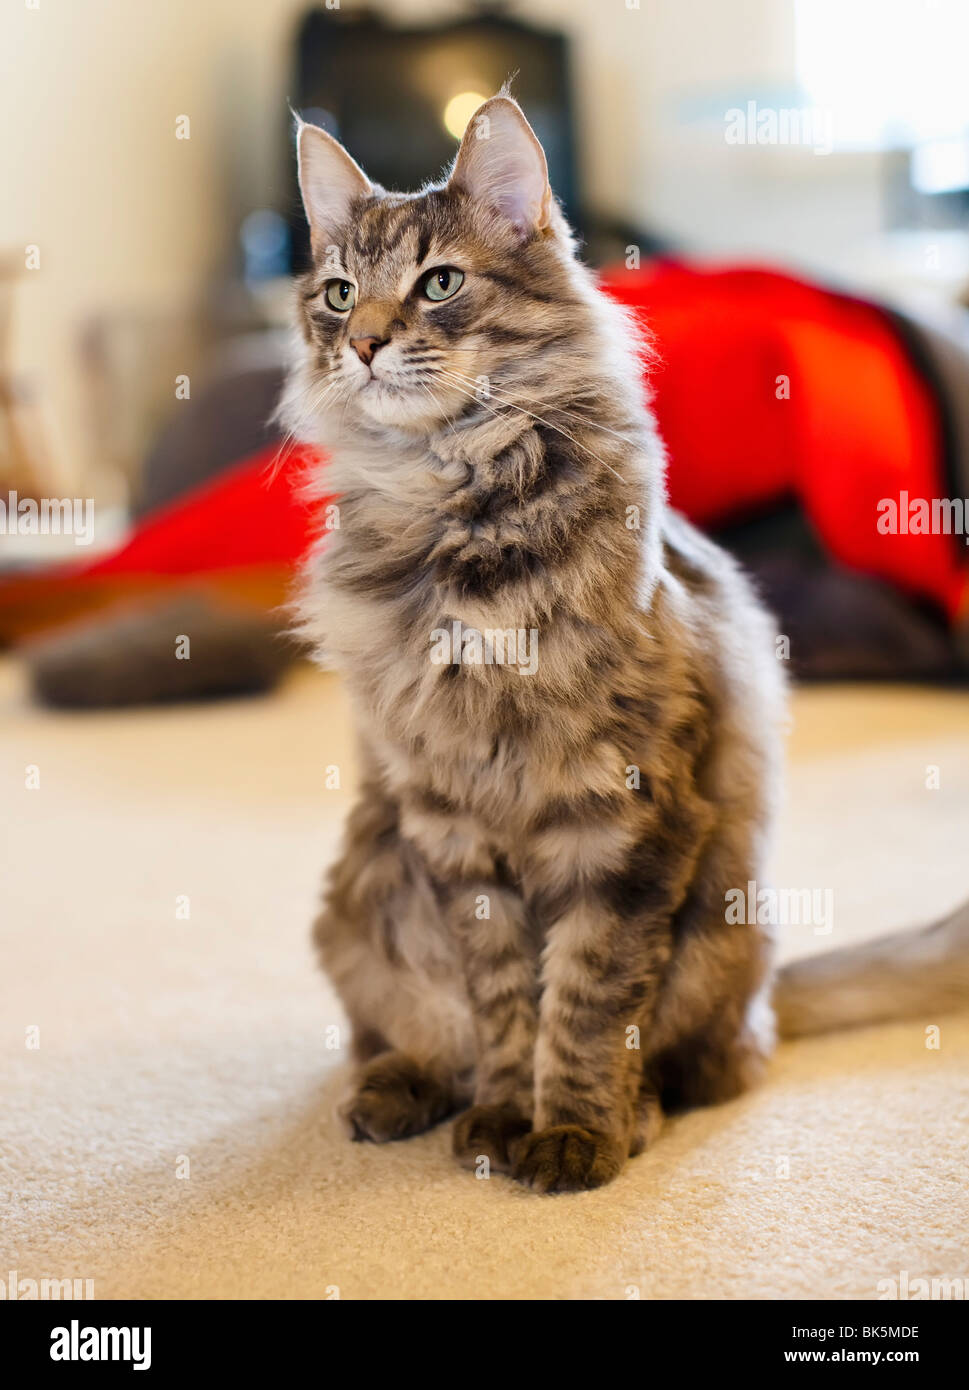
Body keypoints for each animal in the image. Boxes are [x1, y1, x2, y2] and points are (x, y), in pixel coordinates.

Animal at [279, 92, 967, 1189]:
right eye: (341, 295)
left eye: (439, 283)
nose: (369, 344)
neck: (457, 523)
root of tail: (766, 993)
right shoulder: (453, 828)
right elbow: (504, 1007)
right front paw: (503, 1117)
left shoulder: (626, 825)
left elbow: (588, 1003)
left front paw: (571, 1135)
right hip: (362, 901)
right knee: (406, 1037)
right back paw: (397, 1094)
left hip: (723, 934)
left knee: (706, 1067)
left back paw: (632, 1113)